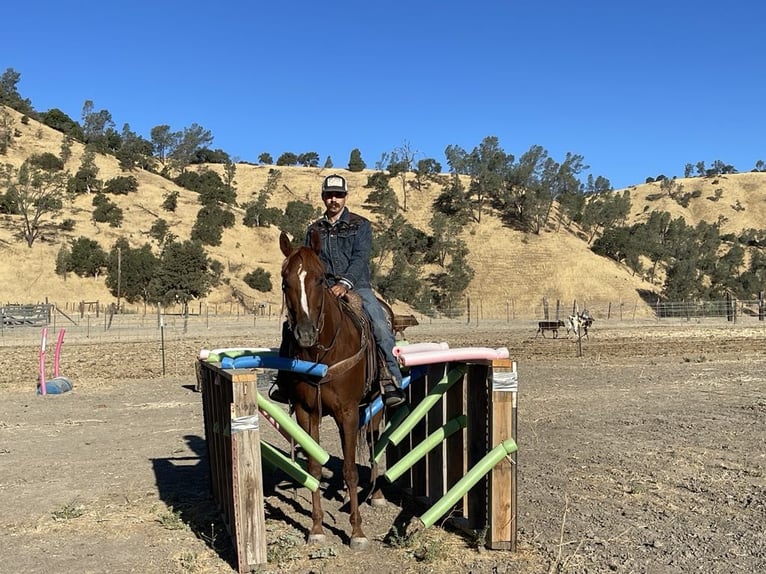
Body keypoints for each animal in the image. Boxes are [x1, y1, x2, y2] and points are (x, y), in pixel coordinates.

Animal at [278, 228, 382, 548]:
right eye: (285, 281)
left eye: (320, 278)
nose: (305, 333)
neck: (321, 356)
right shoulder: (306, 412)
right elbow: (313, 467)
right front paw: (316, 527)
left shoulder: (348, 411)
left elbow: (350, 469)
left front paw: (357, 532)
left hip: (375, 405)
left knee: (375, 443)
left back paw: (376, 495)